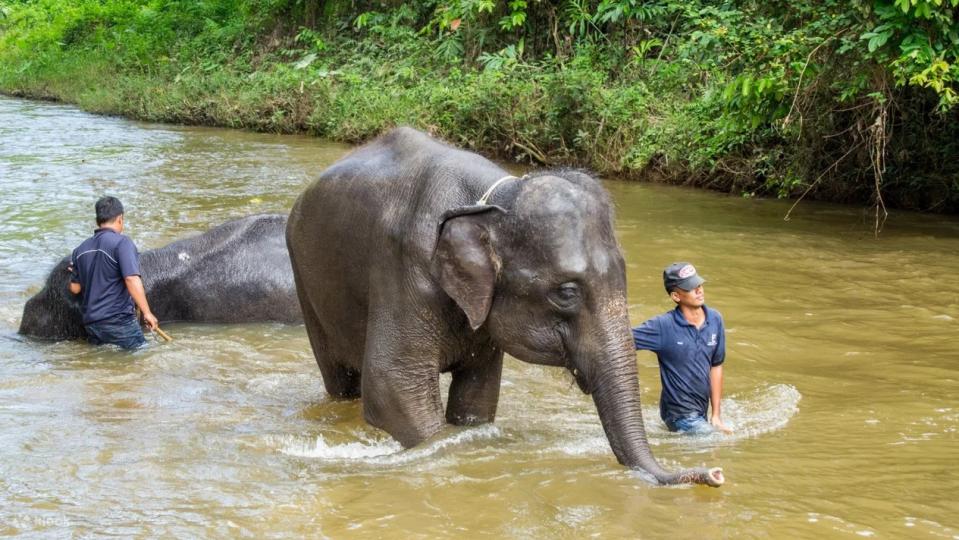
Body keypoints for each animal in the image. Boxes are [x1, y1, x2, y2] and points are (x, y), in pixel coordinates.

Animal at [288, 129, 724, 488]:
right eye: (566, 292)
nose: (715, 473)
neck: (492, 201)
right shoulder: (402, 272)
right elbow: (391, 385)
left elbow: (477, 397)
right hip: (306, 282)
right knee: (342, 381)